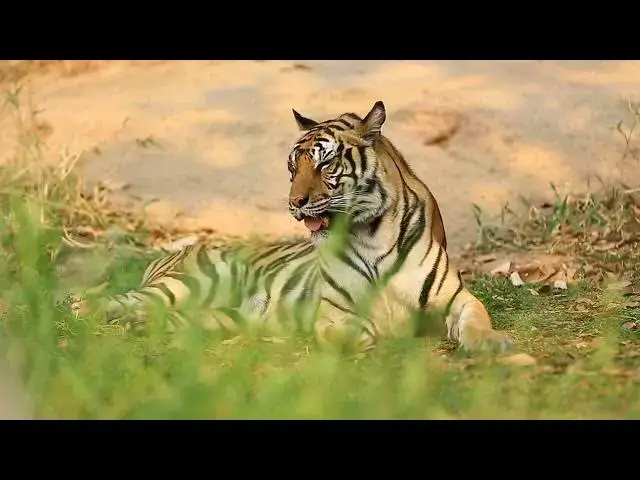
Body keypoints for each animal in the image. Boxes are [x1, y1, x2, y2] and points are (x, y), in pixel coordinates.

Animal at [74, 101, 514, 355]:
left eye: (325, 163)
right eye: (292, 167)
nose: (294, 203)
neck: (370, 234)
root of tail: (175, 251)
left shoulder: (456, 298)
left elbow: (477, 321)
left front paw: (496, 344)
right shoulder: (332, 314)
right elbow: (356, 332)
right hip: (184, 284)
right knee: (106, 299)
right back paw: (84, 311)